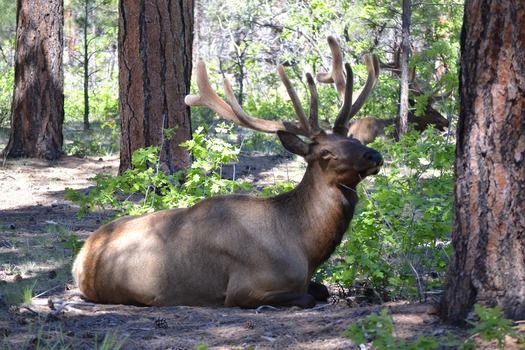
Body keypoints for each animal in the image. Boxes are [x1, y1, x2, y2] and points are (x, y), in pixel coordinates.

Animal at [71, 36, 382, 308]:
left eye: (353, 138)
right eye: (325, 152)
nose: (374, 155)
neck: (305, 249)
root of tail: (80, 257)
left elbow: (322, 290)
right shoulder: (245, 288)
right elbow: (307, 297)